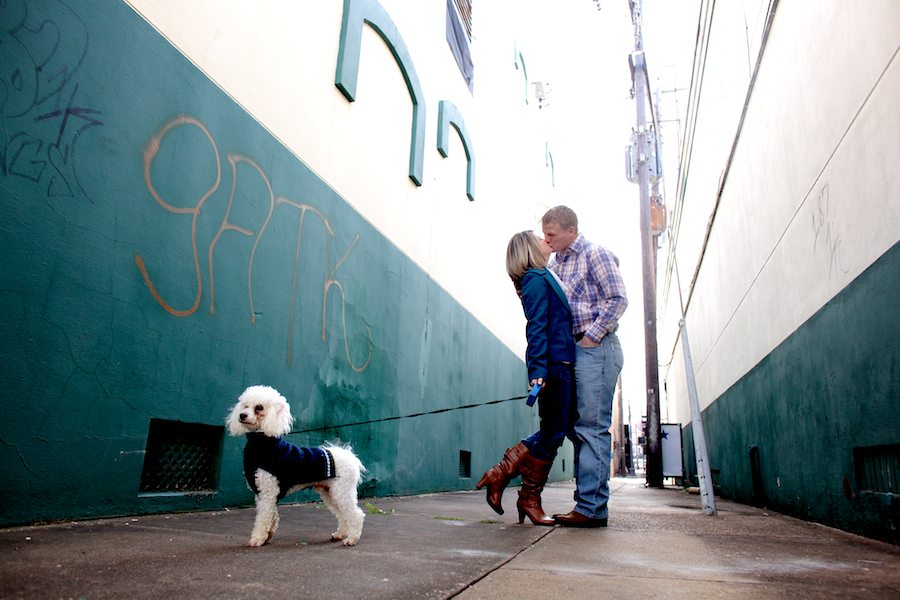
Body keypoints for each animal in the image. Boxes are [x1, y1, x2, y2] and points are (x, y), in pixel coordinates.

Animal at [225, 386, 366, 548]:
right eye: (244, 406)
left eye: (259, 407)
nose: (242, 415)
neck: (264, 443)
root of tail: (349, 456)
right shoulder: (264, 494)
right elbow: (272, 517)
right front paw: (267, 536)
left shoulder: (267, 492)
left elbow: (263, 518)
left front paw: (258, 539)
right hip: (330, 492)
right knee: (342, 515)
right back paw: (340, 534)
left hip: (342, 491)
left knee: (356, 515)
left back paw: (352, 539)